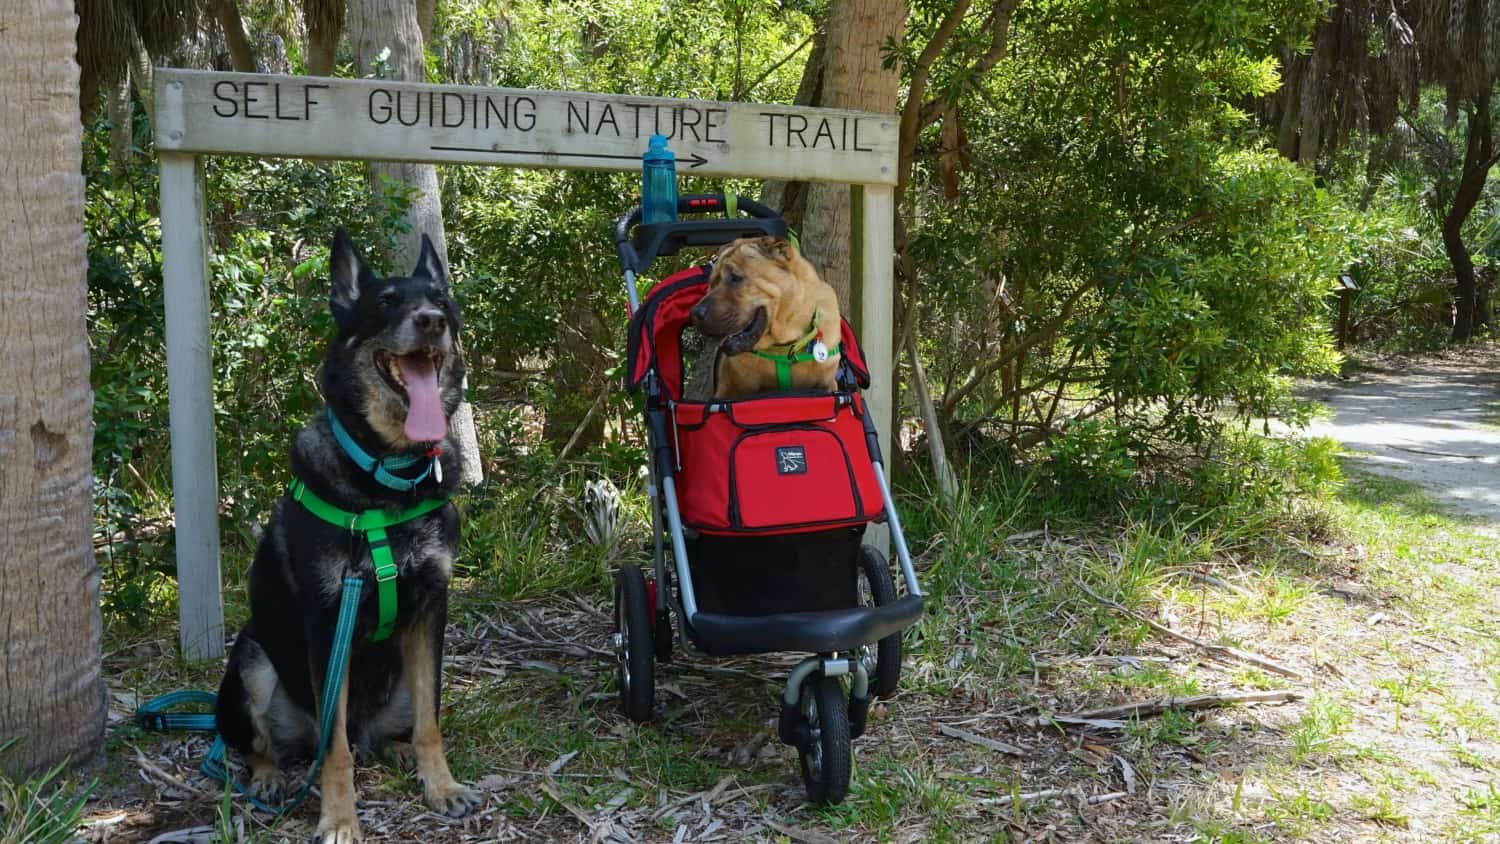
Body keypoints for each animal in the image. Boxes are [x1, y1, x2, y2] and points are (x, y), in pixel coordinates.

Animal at [214, 227, 474, 839]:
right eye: (386, 303)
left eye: (442, 302)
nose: (432, 321)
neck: (387, 478)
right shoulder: (329, 624)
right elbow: (334, 753)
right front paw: (338, 818)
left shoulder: (431, 610)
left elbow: (431, 722)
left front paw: (441, 784)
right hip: (252, 662)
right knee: (271, 745)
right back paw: (269, 777)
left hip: (401, 676)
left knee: (389, 732)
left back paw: (399, 753)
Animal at [690, 233, 846, 398]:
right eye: (711, 283)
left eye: (735, 277)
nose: (694, 313)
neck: (782, 348)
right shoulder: (725, 391)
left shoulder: (829, 384)